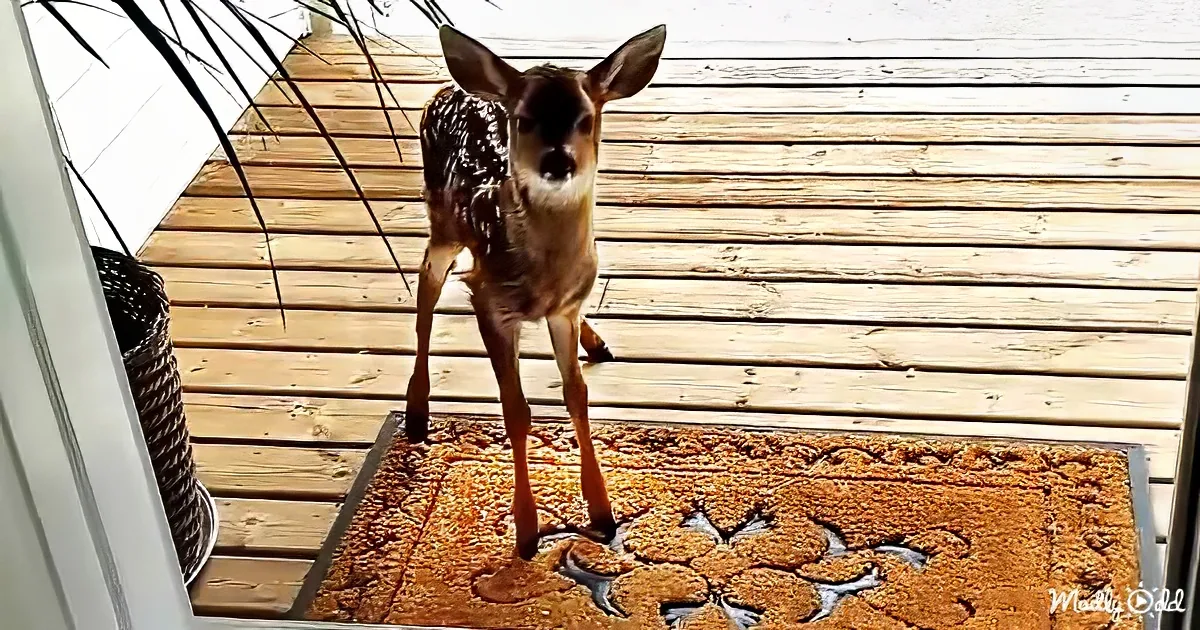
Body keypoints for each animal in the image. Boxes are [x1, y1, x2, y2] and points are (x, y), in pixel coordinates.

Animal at [403, 24, 667, 560]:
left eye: (585, 118)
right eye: (523, 121)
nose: (557, 161)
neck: (543, 278)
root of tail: (448, 89)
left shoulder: (565, 307)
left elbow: (577, 394)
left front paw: (602, 511)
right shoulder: (491, 305)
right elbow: (516, 410)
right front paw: (526, 531)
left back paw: (596, 341)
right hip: (442, 223)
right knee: (424, 291)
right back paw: (416, 411)